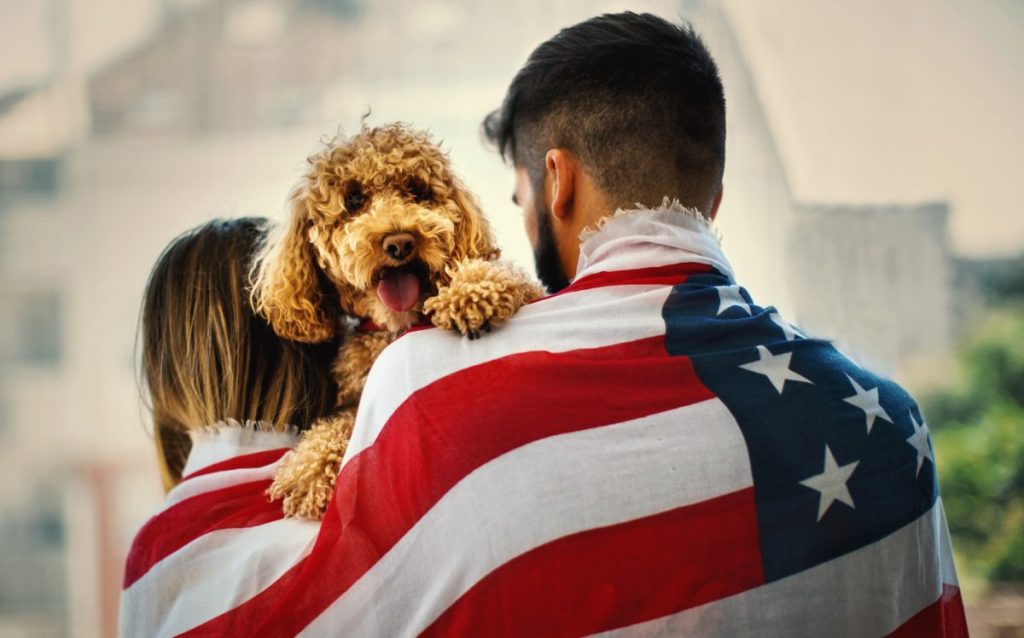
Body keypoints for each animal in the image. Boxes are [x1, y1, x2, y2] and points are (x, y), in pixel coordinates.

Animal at [250, 123, 544, 520]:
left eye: (417, 192)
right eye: (354, 200)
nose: (400, 242)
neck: (395, 325)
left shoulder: (532, 289)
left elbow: (503, 276)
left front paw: (470, 292)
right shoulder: (352, 401)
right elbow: (334, 426)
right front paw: (309, 471)